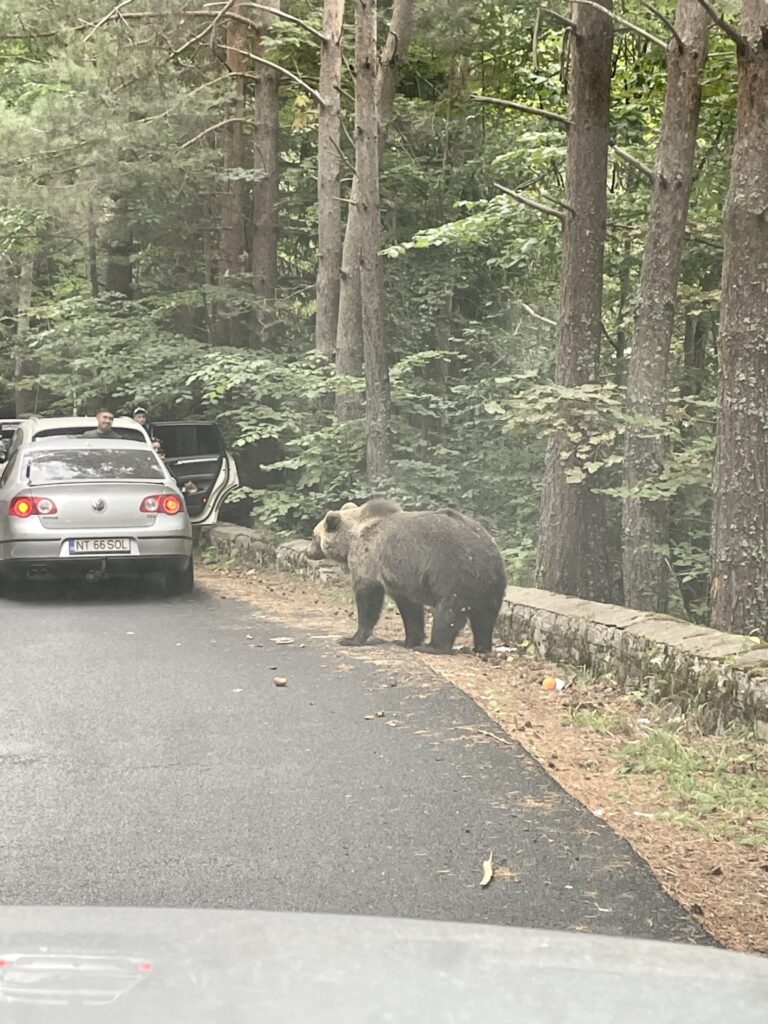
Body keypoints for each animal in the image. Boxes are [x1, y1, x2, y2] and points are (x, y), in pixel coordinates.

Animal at [306, 499, 507, 654]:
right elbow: (410, 608)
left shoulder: (370, 559)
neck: (351, 540)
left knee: (448, 613)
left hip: (453, 574)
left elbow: (368, 598)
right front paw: (408, 640)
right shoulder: (402, 578)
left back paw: (433, 647)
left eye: (314, 536)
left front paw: (351, 638)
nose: (308, 552)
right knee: (485, 618)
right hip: (490, 582)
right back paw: (481, 646)